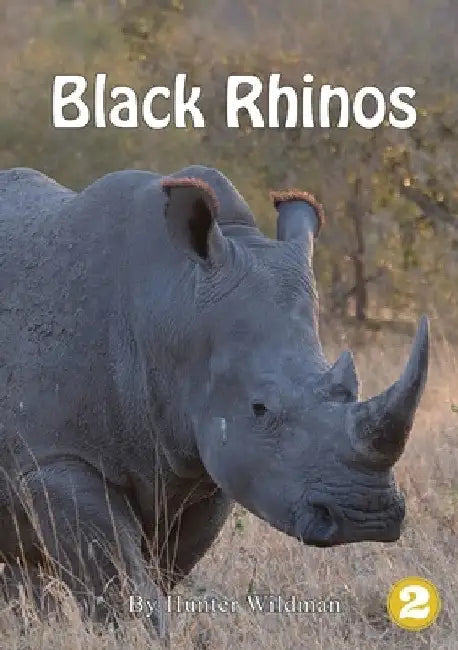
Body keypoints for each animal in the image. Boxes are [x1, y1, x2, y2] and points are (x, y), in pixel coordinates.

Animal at [0, 165, 428, 641]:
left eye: (348, 391)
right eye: (260, 408)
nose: (365, 516)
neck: (170, 303)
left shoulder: (201, 469)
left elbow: (157, 574)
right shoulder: (56, 460)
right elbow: (121, 583)